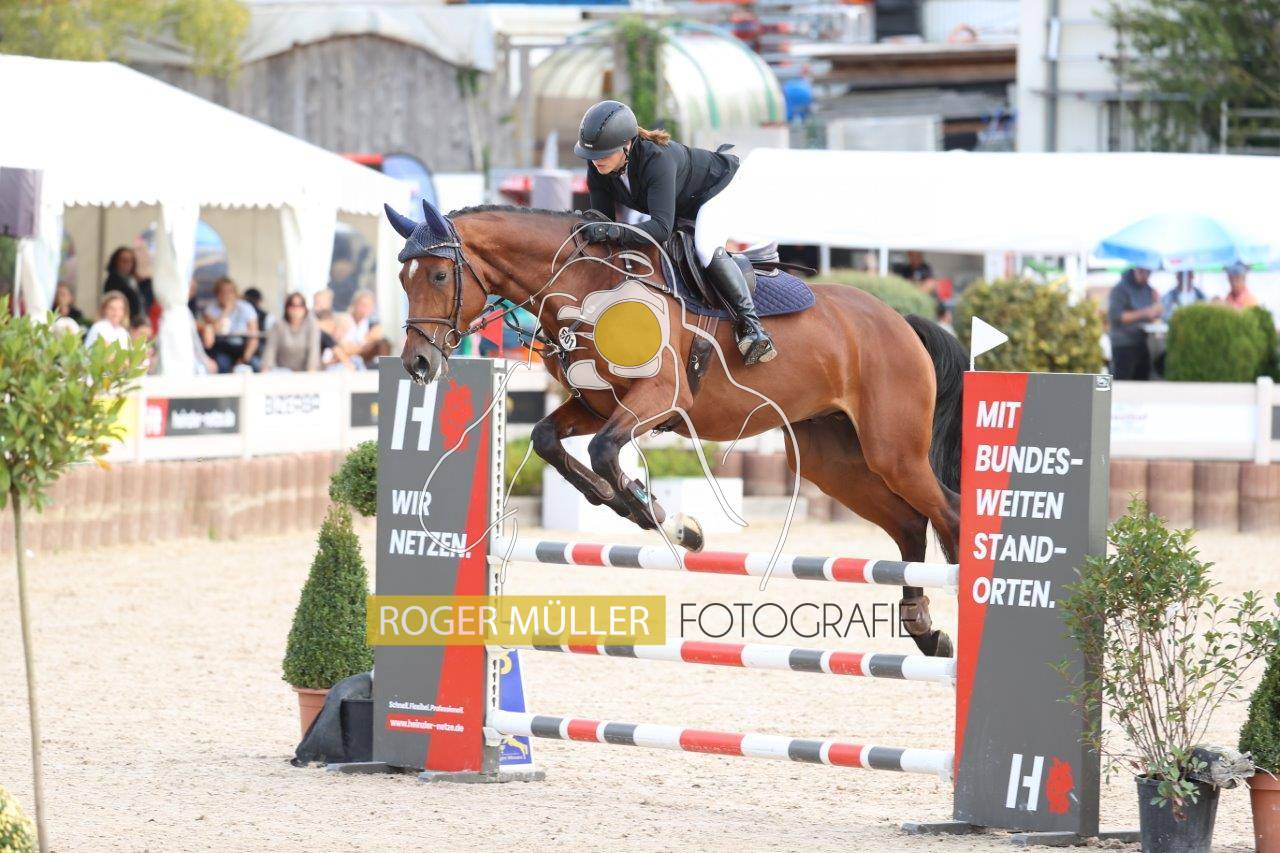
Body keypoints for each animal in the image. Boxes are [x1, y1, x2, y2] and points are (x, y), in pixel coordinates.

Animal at [387, 200, 965, 658]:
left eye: (438, 276)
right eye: (402, 280)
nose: (417, 364)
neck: (587, 287)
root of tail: (900, 320)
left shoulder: (659, 398)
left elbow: (603, 450)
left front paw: (670, 520)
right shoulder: (596, 403)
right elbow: (551, 441)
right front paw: (641, 509)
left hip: (893, 451)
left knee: (949, 514)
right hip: (834, 460)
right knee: (909, 524)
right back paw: (926, 632)